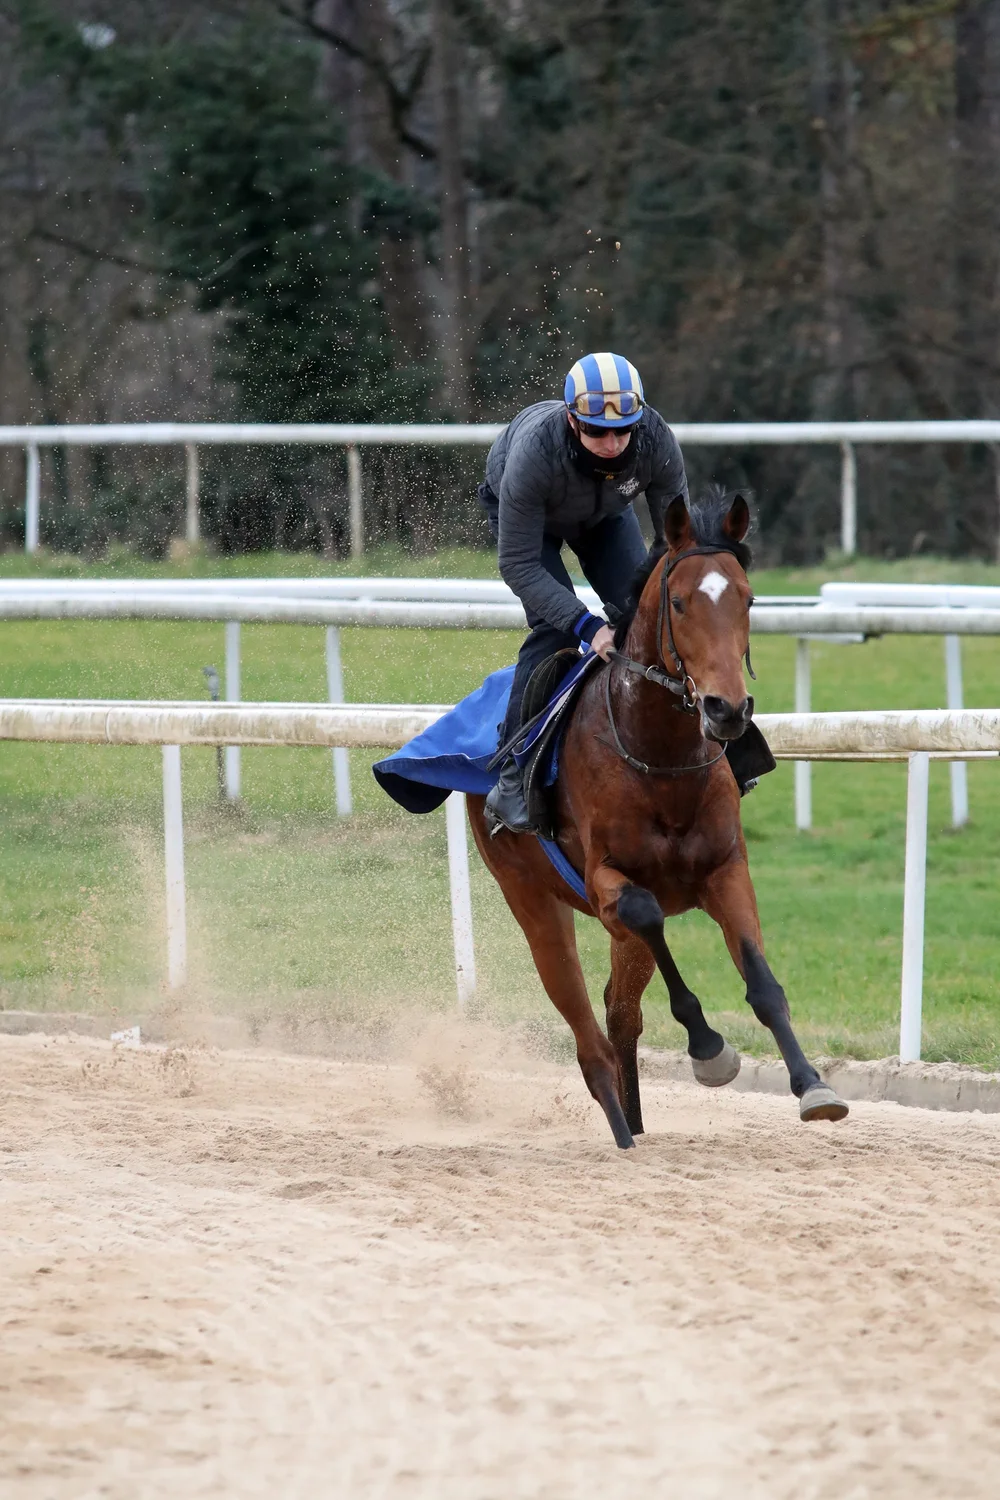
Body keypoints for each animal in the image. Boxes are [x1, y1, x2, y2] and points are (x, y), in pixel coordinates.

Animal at [467, 488, 849, 1149]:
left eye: (749, 597)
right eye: (678, 601)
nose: (726, 709)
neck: (662, 758)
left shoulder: (726, 868)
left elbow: (763, 983)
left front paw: (812, 1086)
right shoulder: (608, 884)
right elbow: (646, 914)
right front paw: (709, 1048)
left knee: (619, 1012)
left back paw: (639, 1126)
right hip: (532, 902)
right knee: (588, 1033)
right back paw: (622, 1134)